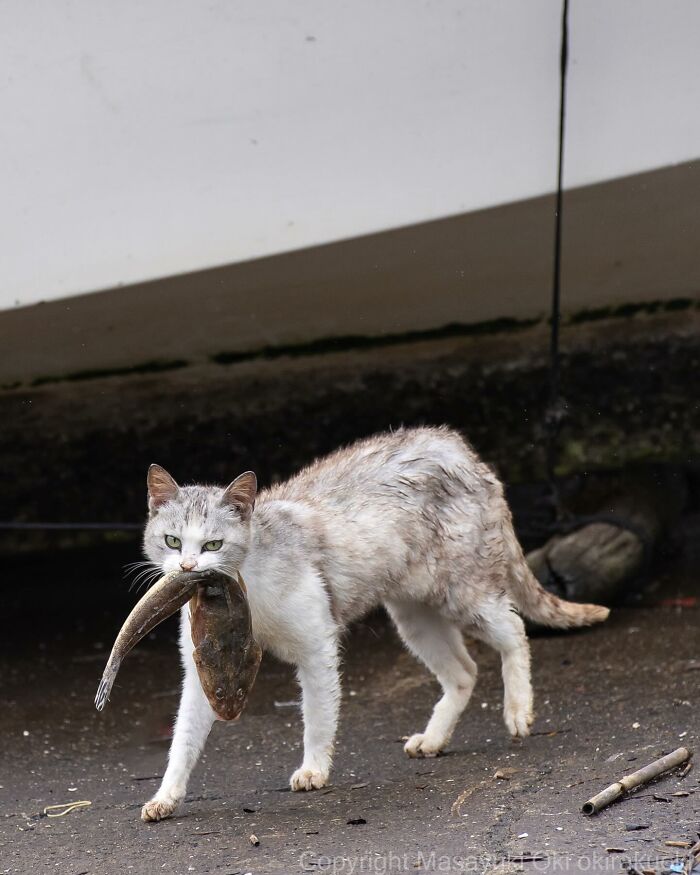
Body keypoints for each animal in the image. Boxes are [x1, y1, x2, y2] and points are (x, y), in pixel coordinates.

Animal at [138, 424, 608, 820]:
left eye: (213, 545)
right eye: (173, 541)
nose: (188, 567)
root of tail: (457, 445)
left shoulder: (317, 647)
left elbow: (318, 716)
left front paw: (314, 769)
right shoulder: (204, 669)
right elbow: (183, 738)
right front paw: (166, 796)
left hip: (463, 591)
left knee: (514, 630)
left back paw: (517, 710)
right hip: (414, 616)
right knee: (465, 672)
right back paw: (434, 739)